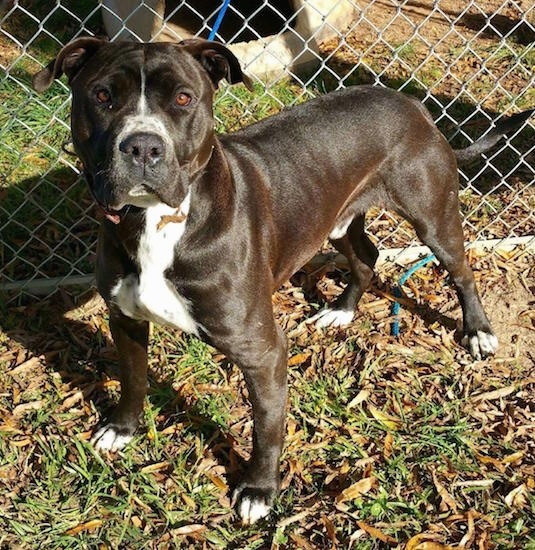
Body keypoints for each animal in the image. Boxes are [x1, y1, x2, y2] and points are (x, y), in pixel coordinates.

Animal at [33, 35, 532, 528]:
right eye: (102, 95)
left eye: (183, 98)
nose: (142, 147)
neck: (159, 223)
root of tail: (413, 103)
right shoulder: (125, 319)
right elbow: (134, 378)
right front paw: (122, 428)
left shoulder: (263, 352)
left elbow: (266, 427)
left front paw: (258, 491)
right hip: (335, 219)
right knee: (367, 257)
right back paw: (341, 311)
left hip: (433, 217)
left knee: (461, 270)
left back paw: (478, 332)